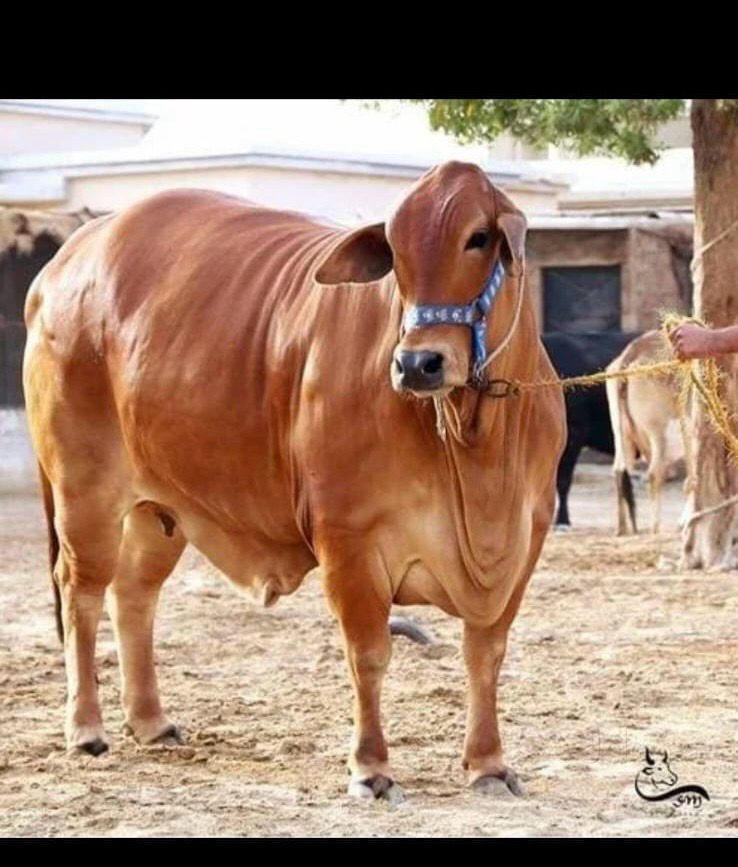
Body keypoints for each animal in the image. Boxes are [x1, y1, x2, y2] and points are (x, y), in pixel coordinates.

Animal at [23, 161, 565, 801]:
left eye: (478, 238)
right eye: (396, 250)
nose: (417, 364)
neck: (476, 445)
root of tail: (64, 263)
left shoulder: (524, 542)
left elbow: (486, 654)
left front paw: (488, 765)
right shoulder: (349, 540)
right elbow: (369, 654)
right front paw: (370, 768)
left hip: (161, 510)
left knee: (133, 592)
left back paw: (152, 721)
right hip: (84, 491)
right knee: (80, 591)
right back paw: (86, 728)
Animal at [606, 330, 691, 535]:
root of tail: (632, 352)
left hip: (622, 435)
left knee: (619, 470)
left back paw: (622, 528)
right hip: (659, 433)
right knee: (655, 473)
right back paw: (656, 527)